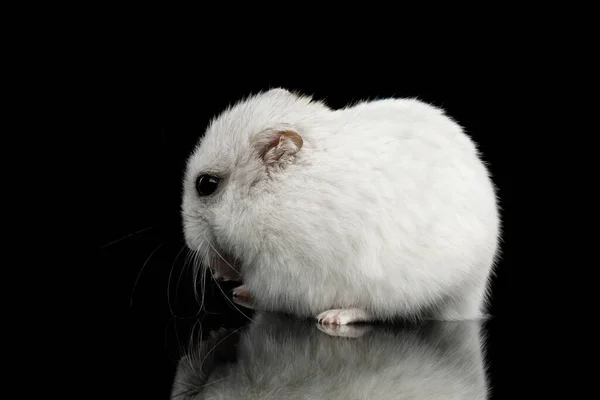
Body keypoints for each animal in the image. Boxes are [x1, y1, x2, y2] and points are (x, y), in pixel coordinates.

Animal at [182, 88, 502, 324]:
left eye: (206, 184)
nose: (189, 241)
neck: (272, 196)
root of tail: (472, 302)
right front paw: (223, 273)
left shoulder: (279, 271)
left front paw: (223, 271)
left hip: (396, 290)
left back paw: (334, 317)